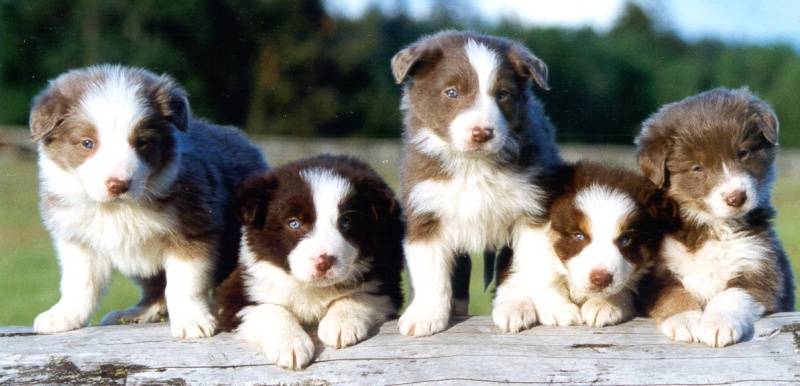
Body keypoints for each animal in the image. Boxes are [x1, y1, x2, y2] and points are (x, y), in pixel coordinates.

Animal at [29, 65, 268, 340]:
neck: (118, 209)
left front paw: (192, 320)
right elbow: (80, 283)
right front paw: (64, 316)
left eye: (141, 143)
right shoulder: (78, 240)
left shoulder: (194, 230)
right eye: (87, 143)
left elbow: (184, 283)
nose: (118, 184)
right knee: (155, 290)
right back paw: (135, 313)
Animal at [214, 155, 404, 370]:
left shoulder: (386, 284)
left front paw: (340, 324)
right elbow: (269, 309)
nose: (324, 262)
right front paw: (290, 344)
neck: (312, 287)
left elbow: (359, 295)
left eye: (345, 222)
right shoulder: (234, 294)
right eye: (294, 223)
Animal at [390, 30, 564, 338]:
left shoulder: (532, 210)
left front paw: (519, 306)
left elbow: (526, 265)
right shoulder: (424, 210)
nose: (482, 133)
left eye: (503, 94)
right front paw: (425, 315)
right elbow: (429, 270)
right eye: (452, 92)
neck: (473, 165)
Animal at [494, 163, 676, 332]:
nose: (601, 279)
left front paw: (603, 305)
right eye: (579, 236)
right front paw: (550, 308)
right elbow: (532, 274)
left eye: (625, 239)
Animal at [636, 87, 792, 346]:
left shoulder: (761, 267)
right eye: (697, 168)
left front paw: (717, 325)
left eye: (743, 153)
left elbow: (731, 294)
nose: (736, 197)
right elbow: (672, 292)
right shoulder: (655, 272)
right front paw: (685, 321)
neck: (714, 226)